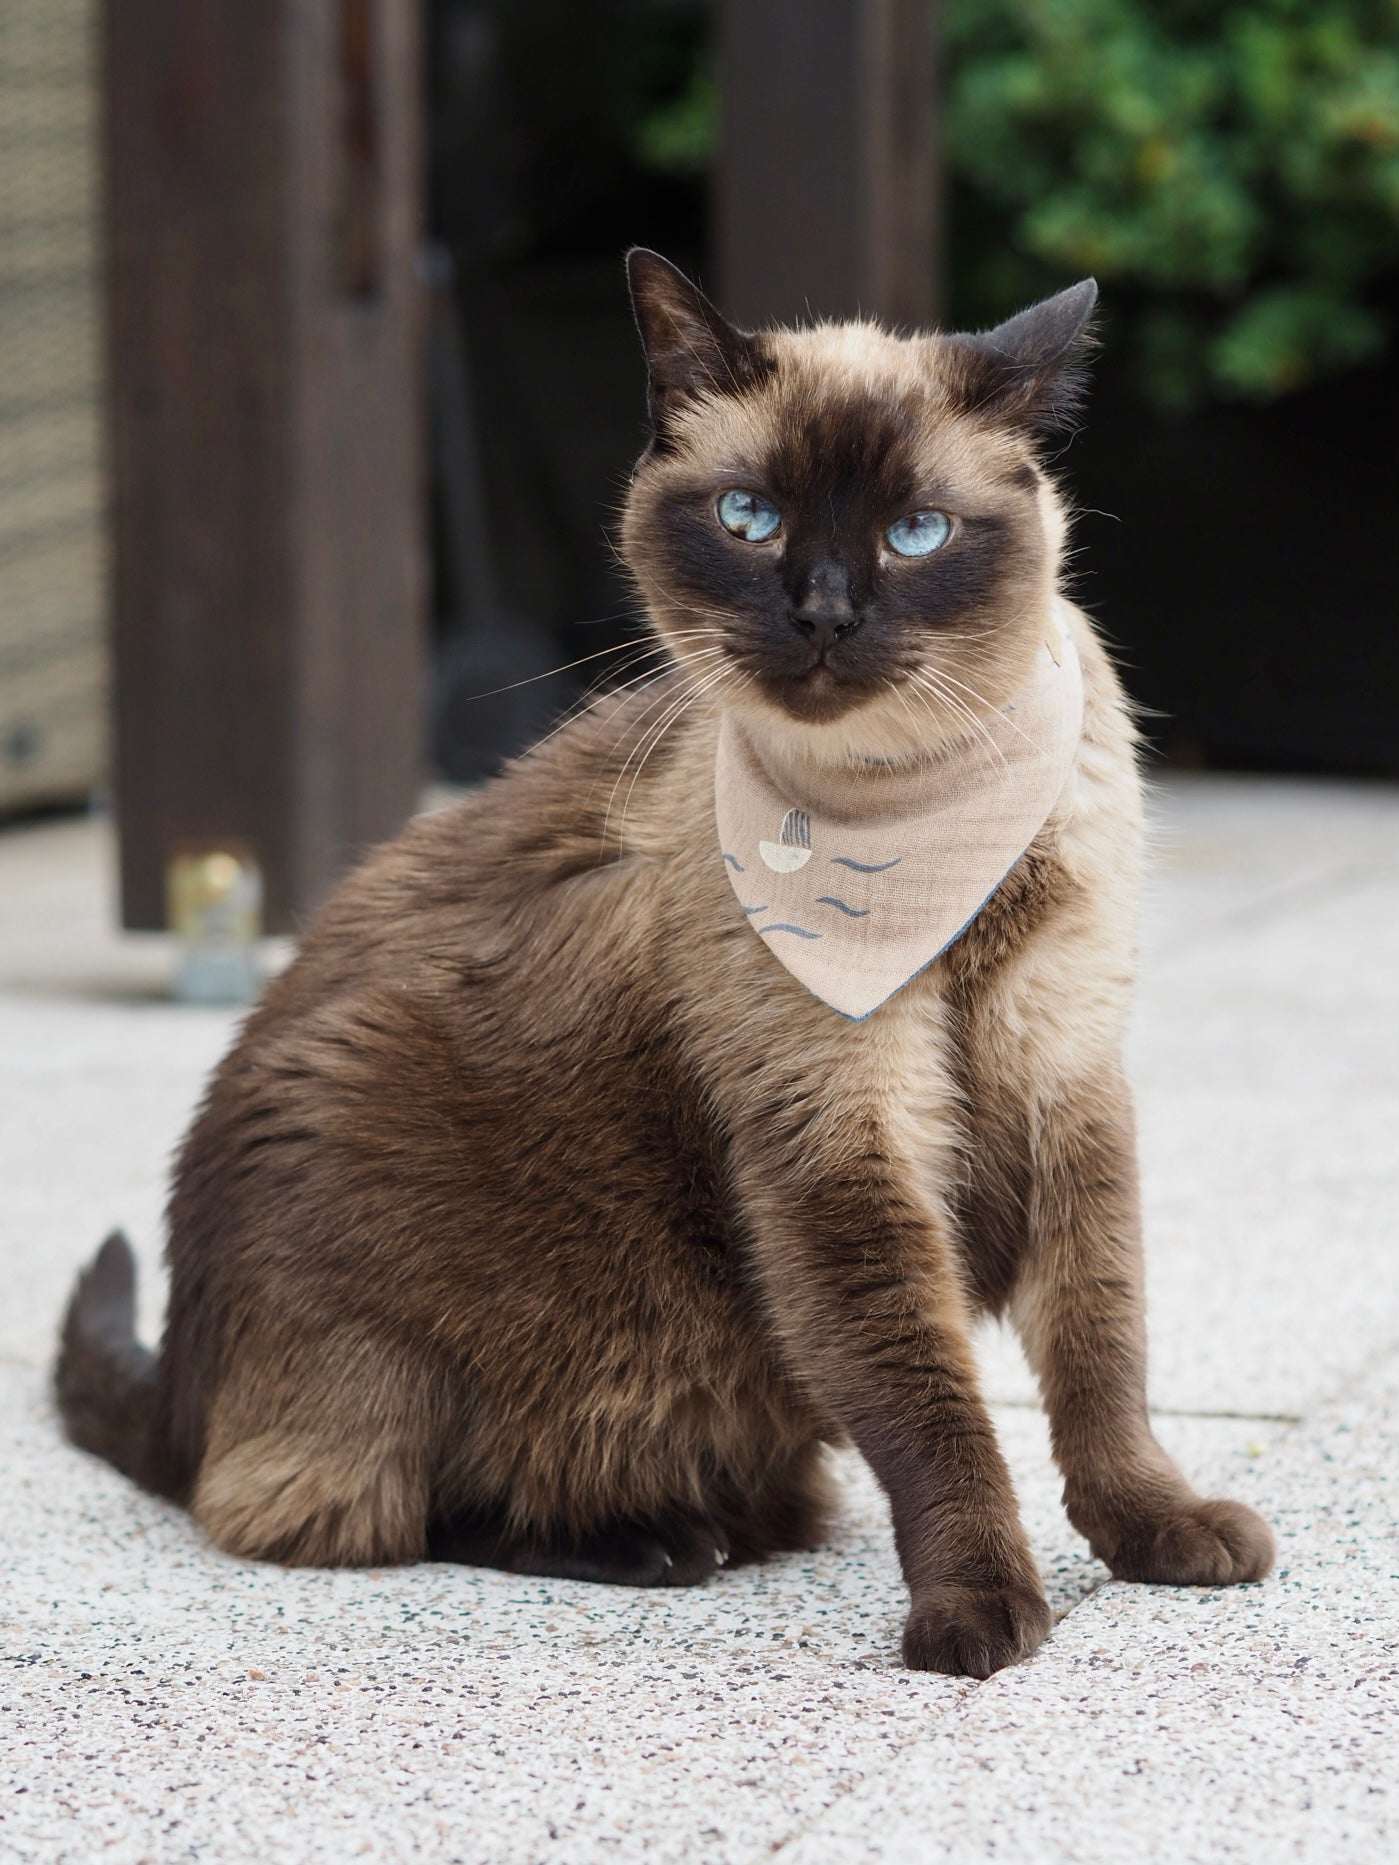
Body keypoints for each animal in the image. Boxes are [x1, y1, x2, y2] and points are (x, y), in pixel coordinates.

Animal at [57, 251, 1268, 1678]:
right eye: (749, 518)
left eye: (915, 534)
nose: (822, 612)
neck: (924, 822)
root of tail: (183, 1394)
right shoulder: (835, 1134)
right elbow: (930, 1399)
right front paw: (978, 1614)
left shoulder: (1066, 1074)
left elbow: (1100, 1350)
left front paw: (1156, 1533)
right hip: (385, 1245)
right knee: (367, 1504)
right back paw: (650, 1540)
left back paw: (722, 1525)